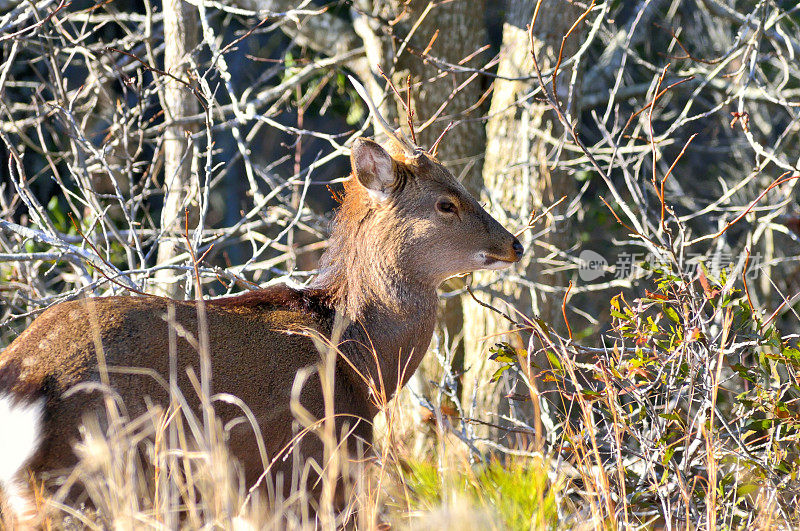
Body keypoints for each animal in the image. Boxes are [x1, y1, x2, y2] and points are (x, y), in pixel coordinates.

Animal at [0, 100, 520, 528]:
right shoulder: (313, 471)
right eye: (446, 203)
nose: (514, 244)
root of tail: (24, 375)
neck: (358, 360)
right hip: (92, 481)